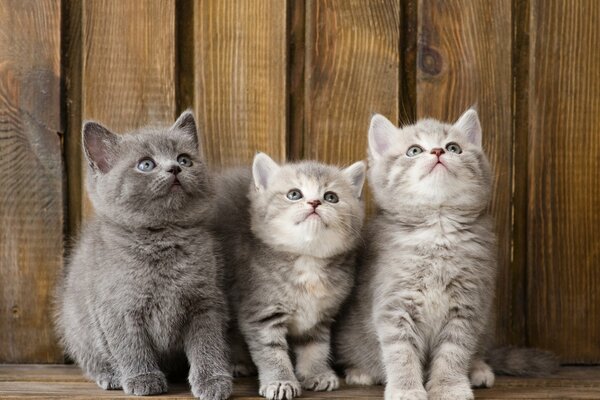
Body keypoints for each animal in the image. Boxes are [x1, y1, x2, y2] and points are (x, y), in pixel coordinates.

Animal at [55, 111, 232, 398]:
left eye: (184, 159)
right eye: (146, 165)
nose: (175, 168)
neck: (162, 239)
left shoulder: (206, 302)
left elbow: (209, 343)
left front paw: (213, 381)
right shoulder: (117, 308)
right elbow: (130, 346)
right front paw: (142, 378)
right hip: (76, 326)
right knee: (91, 358)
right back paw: (110, 375)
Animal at [211, 154, 366, 400]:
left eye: (331, 197)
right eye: (294, 194)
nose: (315, 203)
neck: (307, 261)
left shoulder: (319, 317)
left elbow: (316, 347)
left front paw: (316, 373)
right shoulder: (261, 313)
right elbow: (272, 352)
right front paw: (281, 381)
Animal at [336, 109, 560, 400]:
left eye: (454, 147)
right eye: (414, 150)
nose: (438, 151)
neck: (438, 231)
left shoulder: (468, 305)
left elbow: (454, 351)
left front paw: (449, 386)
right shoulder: (394, 304)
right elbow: (401, 352)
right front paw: (407, 389)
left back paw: (478, 369)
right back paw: (361, 371)